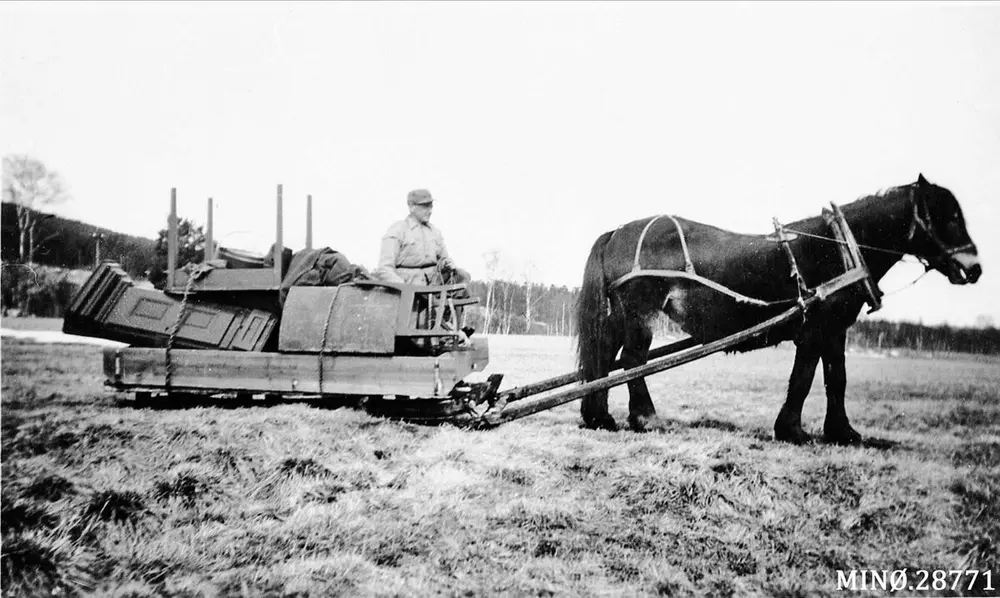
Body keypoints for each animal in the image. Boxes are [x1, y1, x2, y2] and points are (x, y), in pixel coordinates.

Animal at [576, 173, 980, 446]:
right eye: (948, 216)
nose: (974, 268)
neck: (838, 248)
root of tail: (617, 232)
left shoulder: (836, 328)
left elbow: (836, 378)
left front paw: (842, 431)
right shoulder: (815, 329)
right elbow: (803, 378)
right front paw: (792, 430)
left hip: (620, 316)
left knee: (604, 358)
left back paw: (599, 417)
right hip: (640, 313)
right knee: (633, 361)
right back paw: (645, 418)